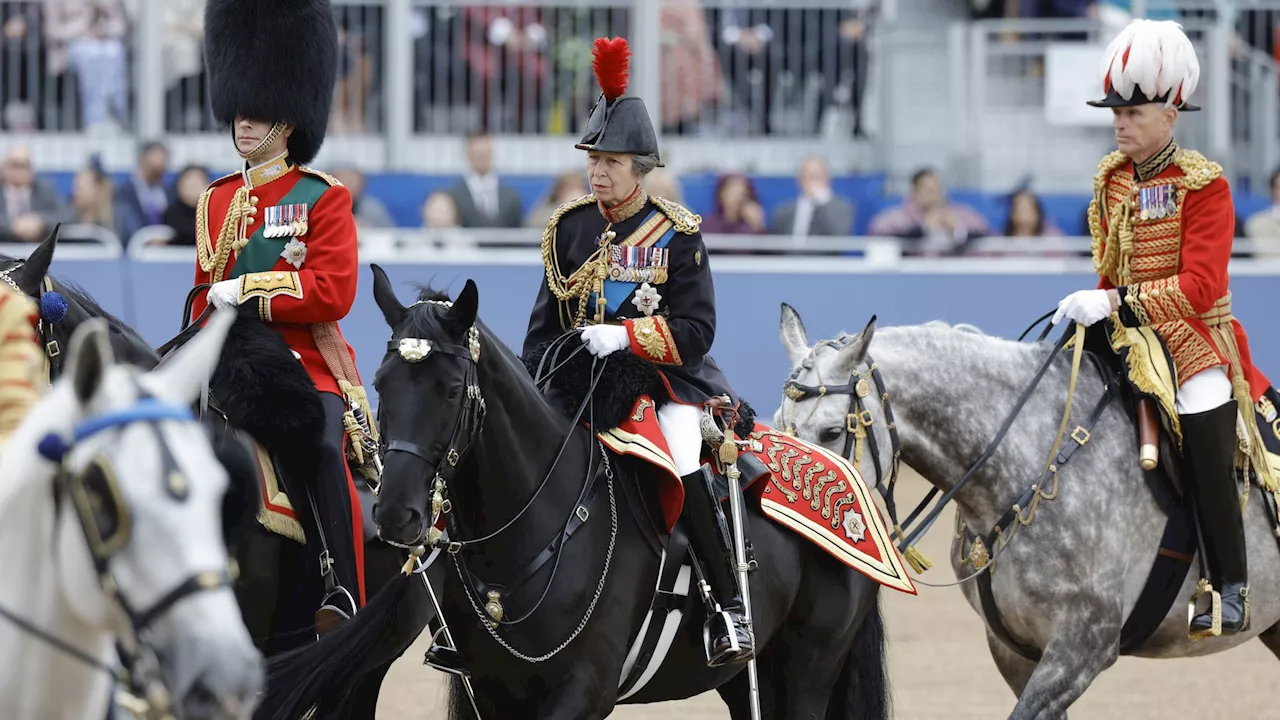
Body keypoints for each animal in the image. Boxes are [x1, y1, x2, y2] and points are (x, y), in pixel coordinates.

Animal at [275, 267, 885, 717]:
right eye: (380, 384)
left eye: (450, 389)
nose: (394, 514)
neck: (538, 526)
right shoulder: (495, 695)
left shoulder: (582, 693)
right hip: (744, 681)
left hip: (807, 669)